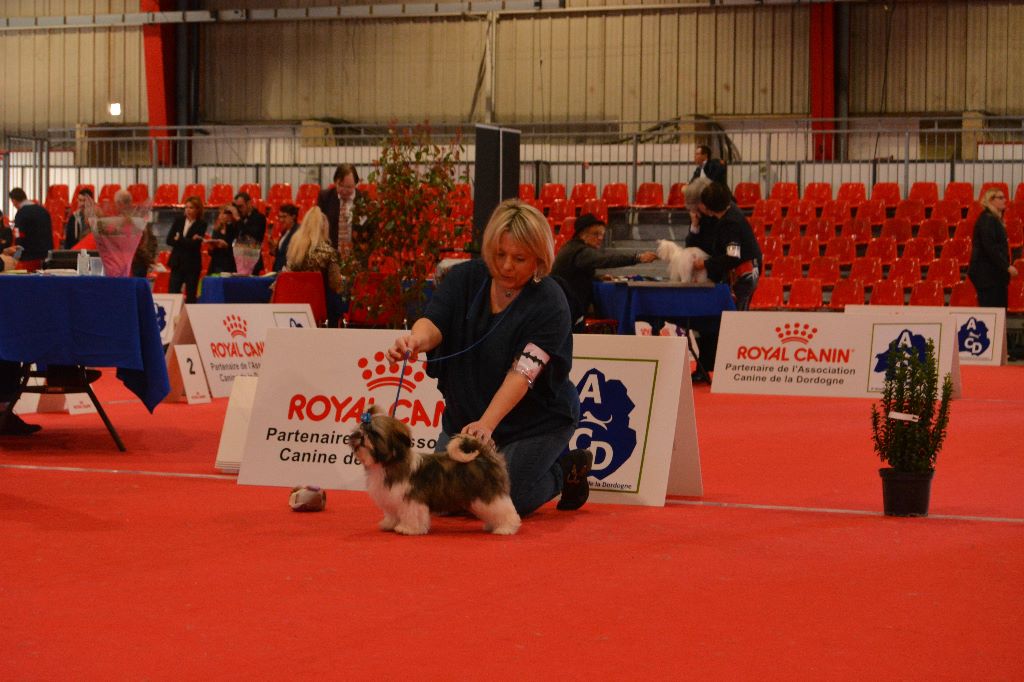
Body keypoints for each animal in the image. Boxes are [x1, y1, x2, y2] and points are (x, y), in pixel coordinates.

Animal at [350, 405, 520, 532]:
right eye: (359, 430)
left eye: (373, 433)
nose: (358, 436)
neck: (390, 462)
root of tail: (484, 456)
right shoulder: (392, 497)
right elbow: (393, 512)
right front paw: (390, 524)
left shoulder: (412, 498)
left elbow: (412, 514)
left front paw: (408, 528)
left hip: (488, 495)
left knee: (504, 510)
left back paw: (506, 527)